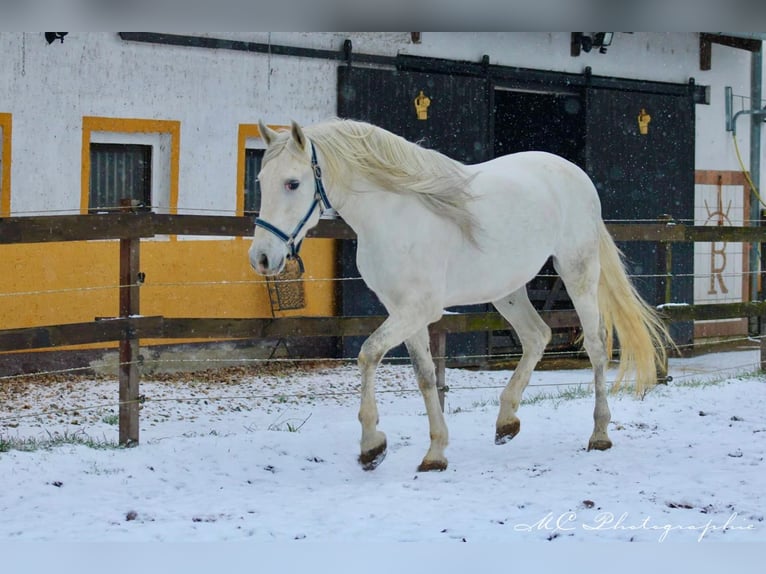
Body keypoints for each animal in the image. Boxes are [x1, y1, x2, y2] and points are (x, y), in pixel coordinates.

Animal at [249, 119, 668, 474]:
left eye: (292, 183)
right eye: (261, 179)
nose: (262, 259)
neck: (392, 216)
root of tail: (576, 175)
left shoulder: (418, 309)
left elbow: (368, 354)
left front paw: (372, 446)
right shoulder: (403, 310)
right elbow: (425, 376)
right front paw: (435, 454)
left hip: (577, 272)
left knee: (596, 345)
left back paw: (599, 434)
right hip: (507, 289)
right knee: (537, 336)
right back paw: (506, 422)